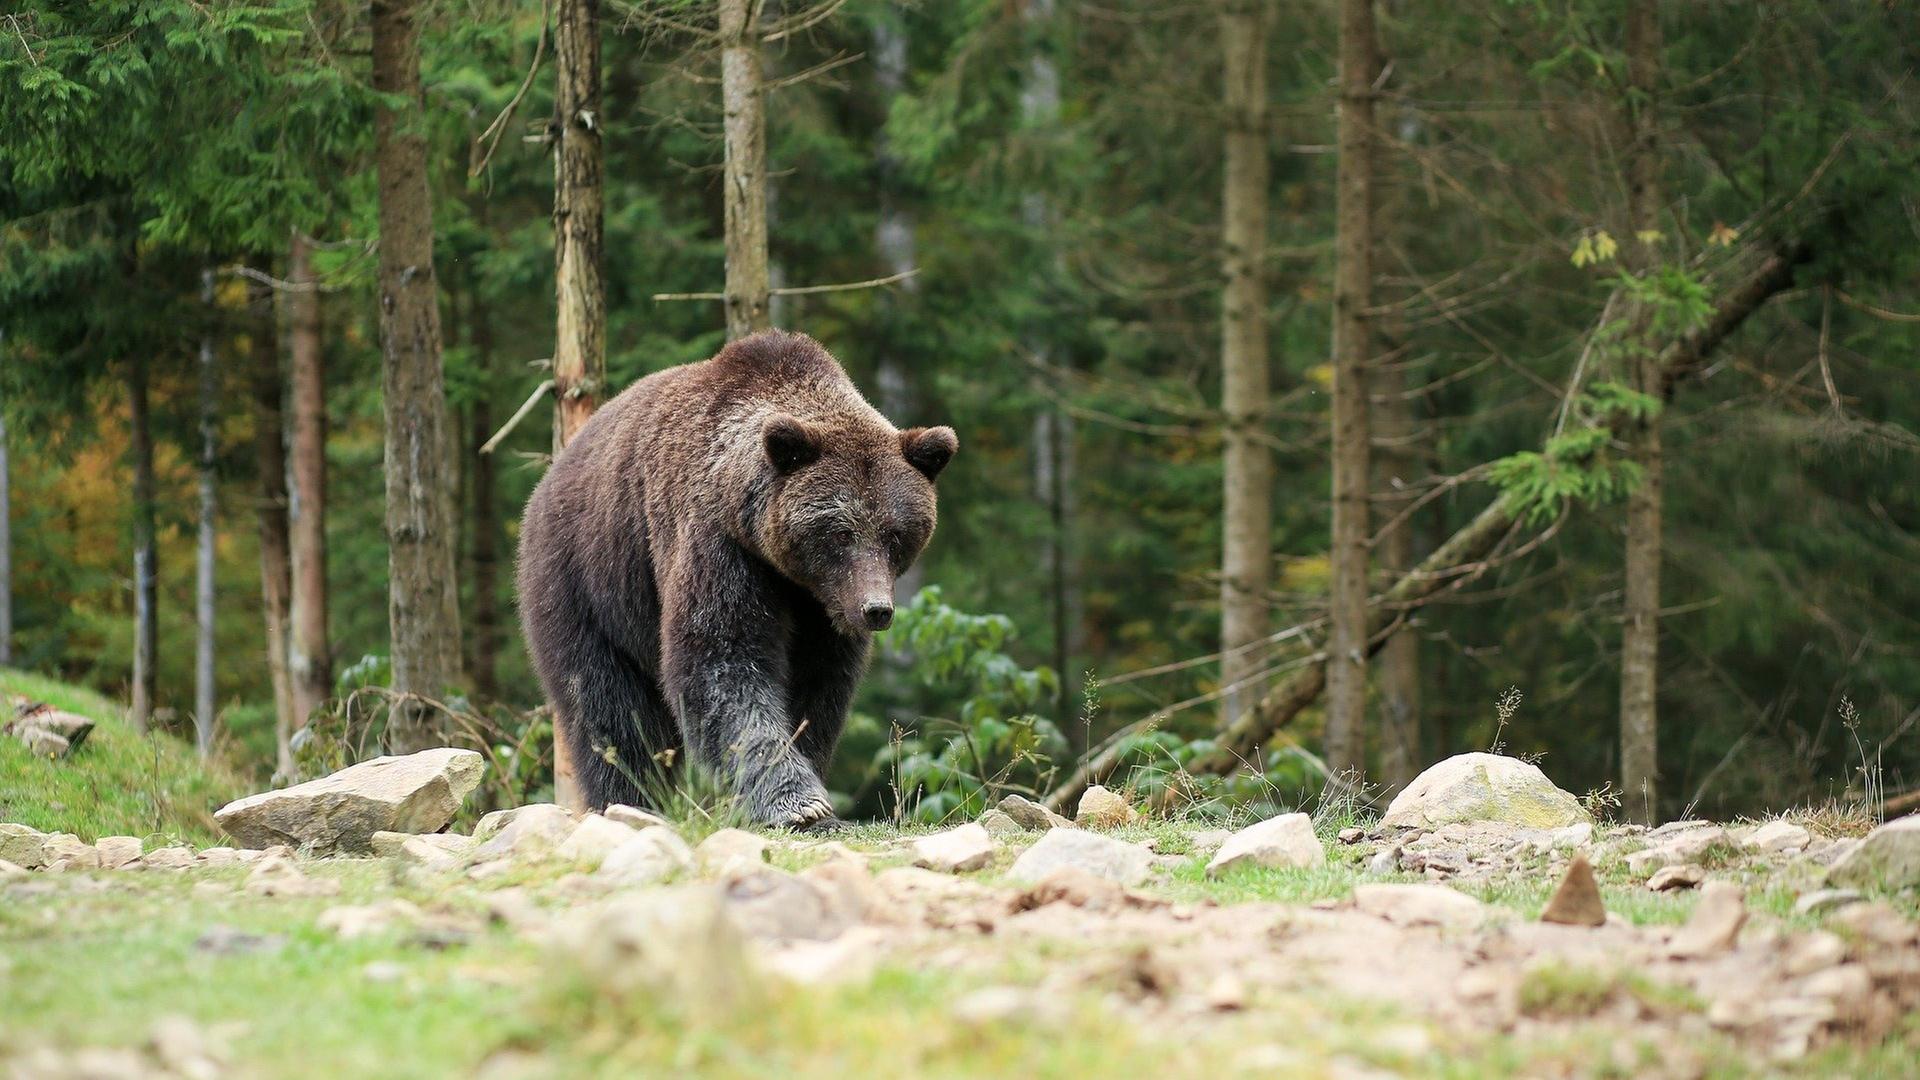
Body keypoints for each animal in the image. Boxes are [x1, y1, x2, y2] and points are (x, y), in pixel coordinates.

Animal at [515, 330, 957, 829]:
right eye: (841, 532)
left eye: (895, 534)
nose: (875, 609)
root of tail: (553, 473)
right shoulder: (718, 545)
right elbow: (722, 657)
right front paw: (798, 802)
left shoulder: (820, 608)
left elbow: (817, 686)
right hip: (586, 578)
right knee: (606, 705)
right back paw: (630, 798)